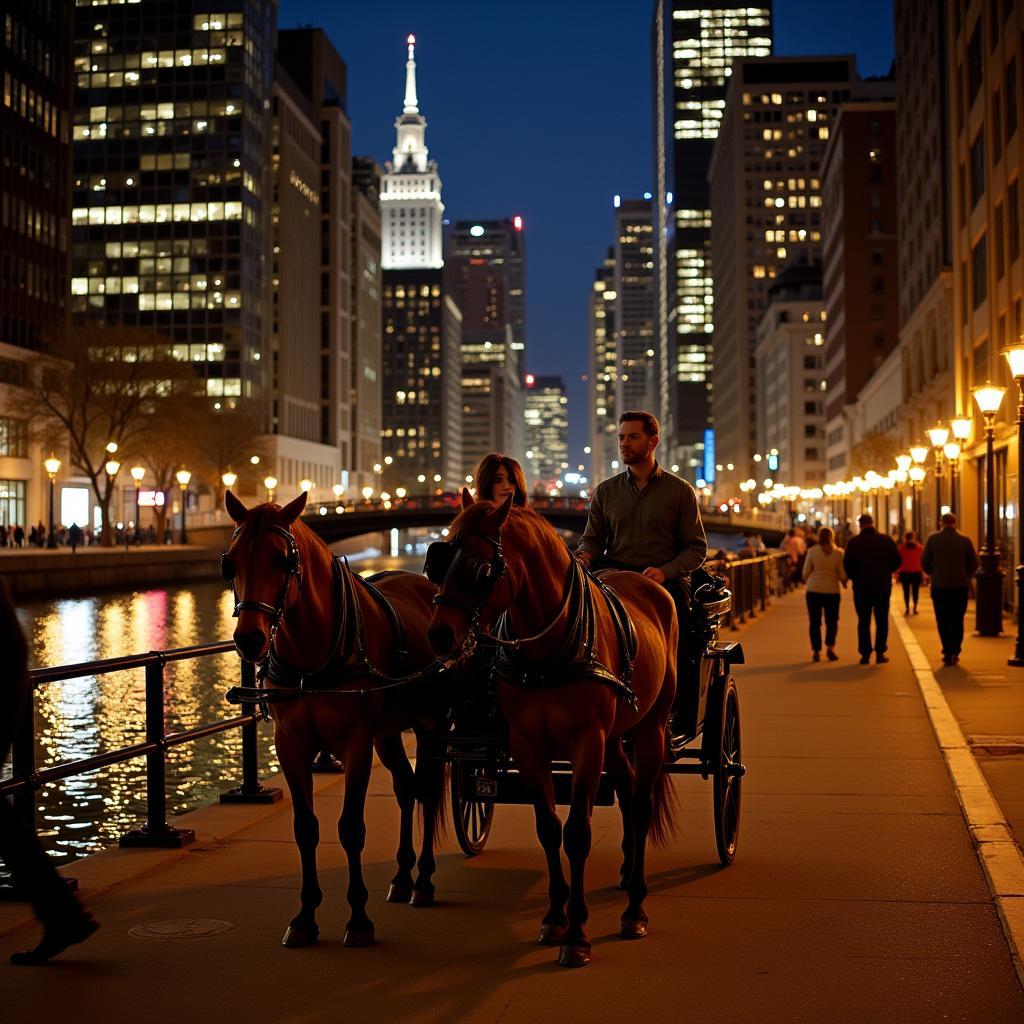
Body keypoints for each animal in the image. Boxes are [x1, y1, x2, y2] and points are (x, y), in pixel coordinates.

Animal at [224, 491, 448, 946]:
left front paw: (358, 918)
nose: (250, 638)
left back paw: (423, 880)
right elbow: (305, 828)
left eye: (282, 560)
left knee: (429, 792)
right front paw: (305, 916)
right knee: (406, 789)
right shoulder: (291, 745)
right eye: (231, 561)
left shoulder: (356, 743)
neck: (310, 655)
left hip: (430, 724)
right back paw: (402, 876)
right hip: (389, 733)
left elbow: (350, 828)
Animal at [425, 491, 679, 962]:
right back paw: (625, 870)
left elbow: (577, 832)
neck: (548, 649)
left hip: (650, 727)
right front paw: (555, 918)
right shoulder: (527, 745)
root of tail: (650, 583)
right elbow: (548, 829)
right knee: (628, 788)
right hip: (615, 737)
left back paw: (635, 906)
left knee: (640, 805)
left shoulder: (587, 743)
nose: (438, 636)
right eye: (439, 560)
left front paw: (577, 935)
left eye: (481, 569)